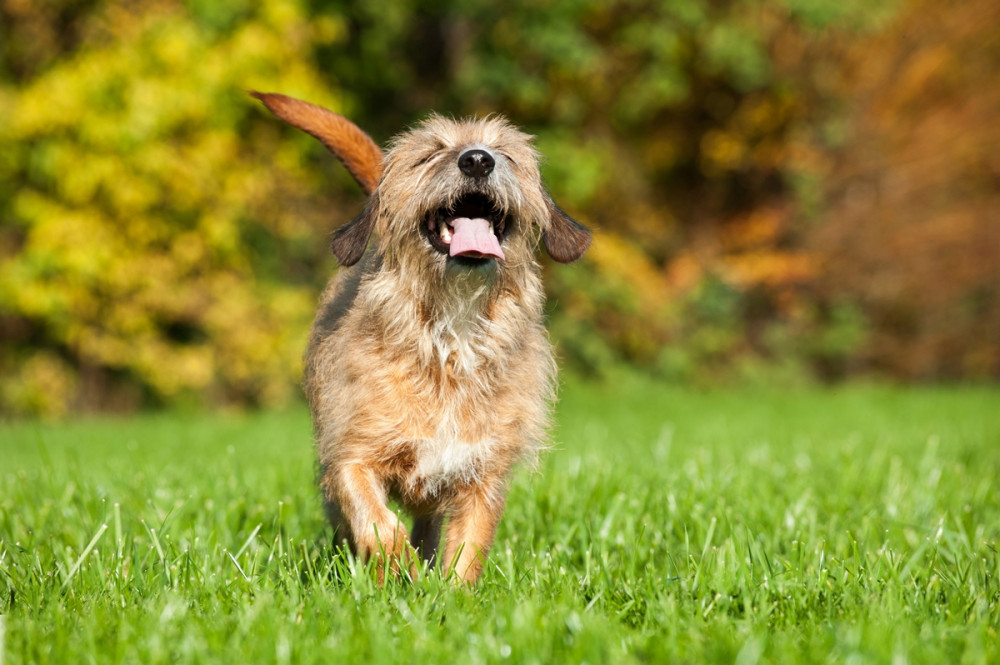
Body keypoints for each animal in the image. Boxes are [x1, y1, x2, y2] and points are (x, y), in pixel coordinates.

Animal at [254, 92, 588, 580]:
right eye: (430, 153)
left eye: (504, 152)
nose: (477, 160)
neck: (450, 338)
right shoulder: (350, 456)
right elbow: (377, 524)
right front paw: (399, 570)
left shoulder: (483, 475)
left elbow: (467, 552)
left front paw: (448, 593)